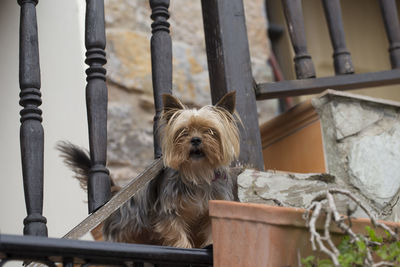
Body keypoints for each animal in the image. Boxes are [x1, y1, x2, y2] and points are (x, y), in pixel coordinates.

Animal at [58, 91, 241, 249]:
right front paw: (183, 247)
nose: (195, 139)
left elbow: (212, 233)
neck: (197, 173)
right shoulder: (168, 211)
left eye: (210, 131)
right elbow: (177, 233)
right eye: (183, 131)